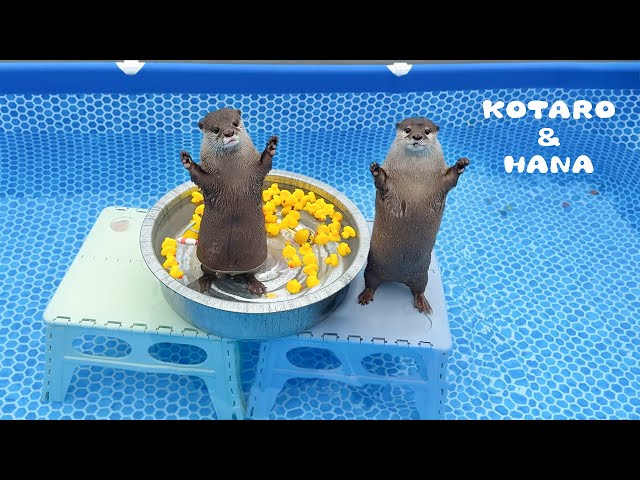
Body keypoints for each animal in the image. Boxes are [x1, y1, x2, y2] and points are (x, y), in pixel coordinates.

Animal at [179, 107, 278, 296]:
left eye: (235, 123)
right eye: (216, 129)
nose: (229, 133)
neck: (233, 172)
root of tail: (231, 272)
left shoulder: (256, 171)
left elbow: (265, 164)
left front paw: (271, 147)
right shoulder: (210, 181)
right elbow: (198, 176)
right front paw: (187, 161)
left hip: (255, 263)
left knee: (249, 274)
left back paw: (255, 285)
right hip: (206, 260)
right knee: (208, 272)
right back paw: (203, 282)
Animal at [357, 117, 469, 314]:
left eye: (427, 131)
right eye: (408, 129)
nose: (417, 136)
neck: (415, 177)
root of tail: (397, 277)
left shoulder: (441, 182)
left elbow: (451, 179)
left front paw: (461, 164)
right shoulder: (389, 184)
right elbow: (382, 182)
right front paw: (376, 169)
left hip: (422, 275)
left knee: (419, 289)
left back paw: (423, 303)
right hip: (372, 268)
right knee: (371, 282)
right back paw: (365, 295)